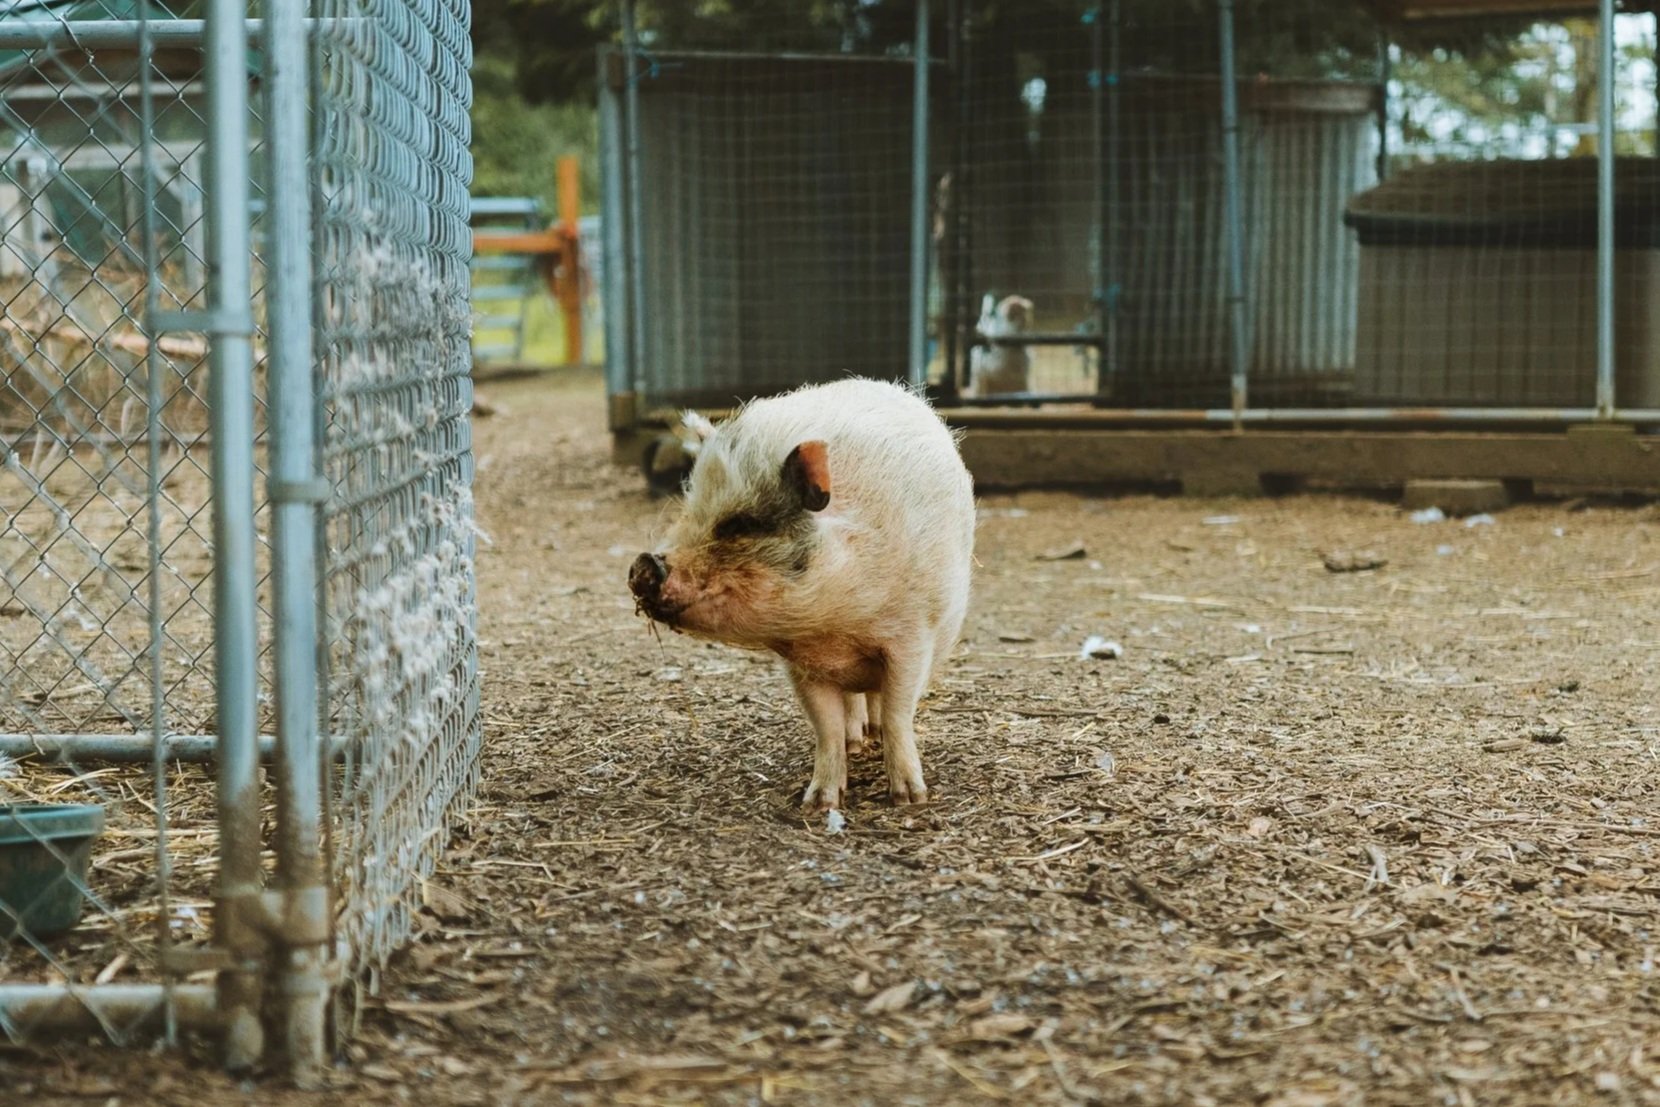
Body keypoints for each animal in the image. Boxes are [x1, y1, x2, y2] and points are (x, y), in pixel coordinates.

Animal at [628, 378, 975, 811]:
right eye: (689, 513)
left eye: (741, 524)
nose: (642, 565)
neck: (838, 626)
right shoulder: (802, 663)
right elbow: (825, 727)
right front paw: (818, 804)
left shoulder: (912, 638)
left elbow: (898, 712)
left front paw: (910, 799)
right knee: (852, 705)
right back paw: (856, 740)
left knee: (876, 701)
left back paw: (872, 736)